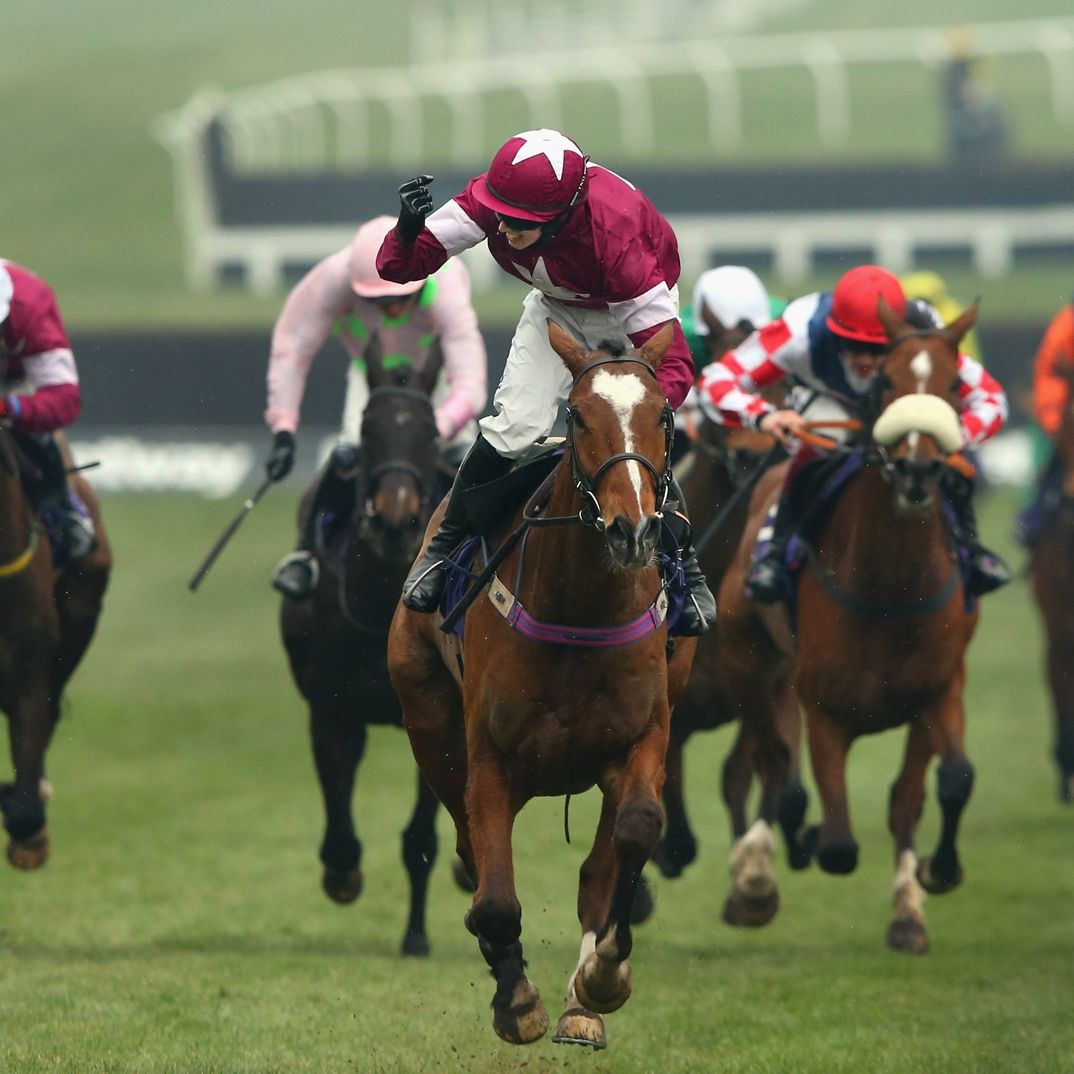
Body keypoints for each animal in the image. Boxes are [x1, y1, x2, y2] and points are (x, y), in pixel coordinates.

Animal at [279, 351, 450, 956]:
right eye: (369, 430)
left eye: (429, 432)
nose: (396, 520)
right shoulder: (332, 708)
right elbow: (339, 826)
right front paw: (343, 875)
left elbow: (422, 837)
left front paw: (417, 935)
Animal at [388, 322, 697, 1050]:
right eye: (578, 416)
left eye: (663, 417)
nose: (632, 529)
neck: (580, 608)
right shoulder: (489, 759)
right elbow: (495, 893)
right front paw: (517, 999)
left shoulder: (643, 735)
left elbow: (634, 835)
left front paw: (603, 978)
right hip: (429, 722)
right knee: (474, 857)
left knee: (597, 867)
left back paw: (583, 1001)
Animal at [718, 300, 981, 953]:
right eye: (885, 381)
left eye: (954, 386)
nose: (916, 467)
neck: (890, 589)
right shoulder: (823, 704)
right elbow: (835, 841)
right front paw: (801, 845)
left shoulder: (939, 690)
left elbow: (941, 785)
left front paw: (925, 889)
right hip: (749, 662)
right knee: (773, 765)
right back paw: (755, 877)